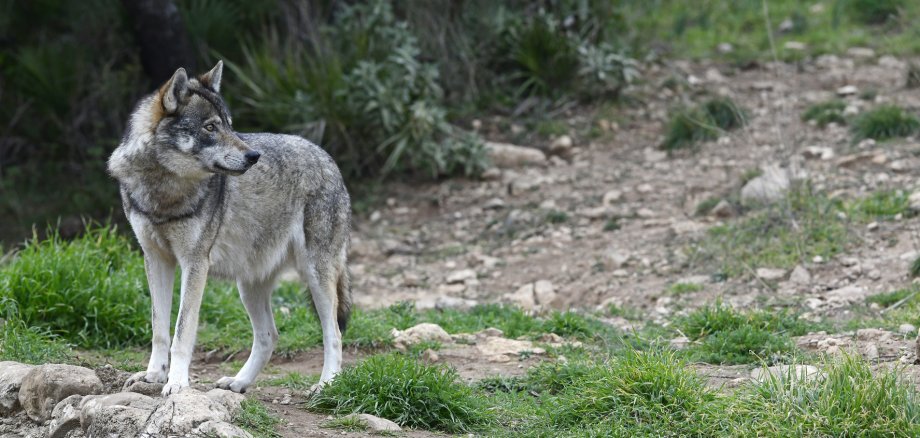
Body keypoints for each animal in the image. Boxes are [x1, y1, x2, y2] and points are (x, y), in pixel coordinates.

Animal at [108, 61, 352, 396]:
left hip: (316, 276)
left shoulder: (195, 263)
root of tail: (328, 158)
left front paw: (177, 383)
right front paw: (153, 376)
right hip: (249, 285)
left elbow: (182, 332)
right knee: (269, 336)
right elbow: (159, 329)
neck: (165, 190)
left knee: (334, 334)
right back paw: (238, 382)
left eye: (229, 125)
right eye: (211, 127)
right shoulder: (155, 260)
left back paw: (325, 385)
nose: (253, 156)